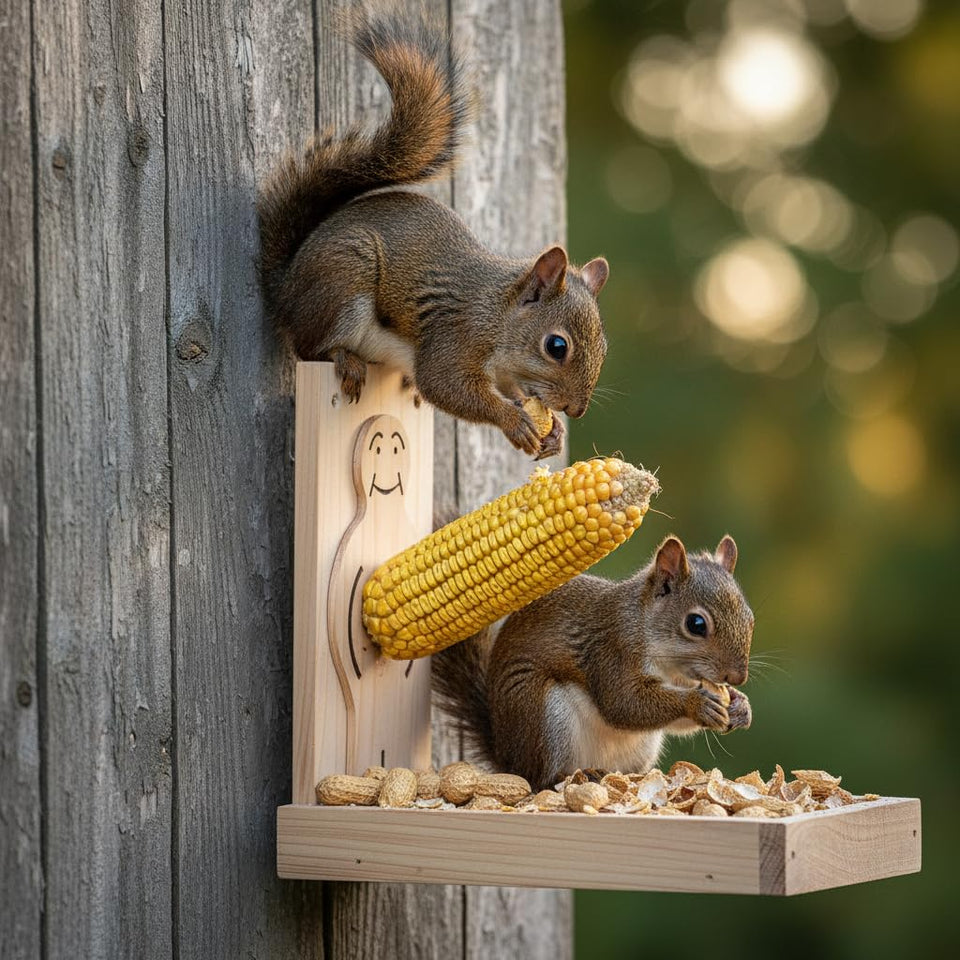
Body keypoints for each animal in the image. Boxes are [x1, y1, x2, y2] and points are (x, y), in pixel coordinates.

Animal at [257, 8, 610, 459]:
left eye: (604, 346)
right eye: (557, 347)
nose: (576, 409)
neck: (496, 314)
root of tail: (285, 285)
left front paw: (555, 432)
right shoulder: (455, 335)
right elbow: (443, 383)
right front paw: (513, 421)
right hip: (343, 278)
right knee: (308, 345)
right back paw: (344, 358)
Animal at [432, 534, 754, 789]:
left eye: (750, 618)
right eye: (696, 624)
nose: (737, 677)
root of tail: (505, 756)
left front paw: (740, 706)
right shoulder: (612, 651)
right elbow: (624, 704)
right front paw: (698, 704)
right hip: (544, 714)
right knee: (539, 779)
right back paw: (575, 776)